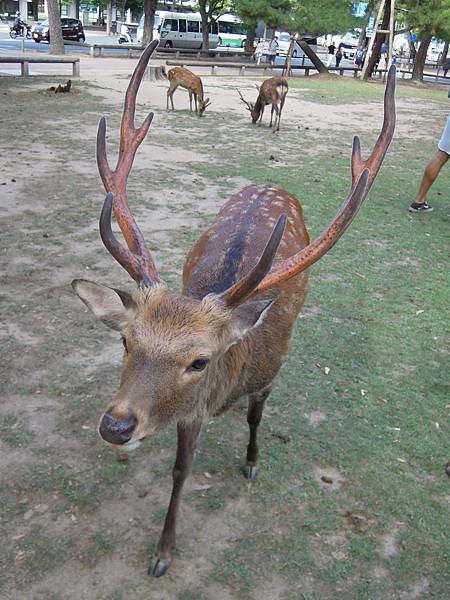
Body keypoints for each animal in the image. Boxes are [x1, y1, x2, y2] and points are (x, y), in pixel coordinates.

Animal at [72, 41, 396, 576]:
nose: (115, 426)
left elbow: (256, 419)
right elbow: (181, 469)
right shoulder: (189, 414)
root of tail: (268, 182)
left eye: (200, 361)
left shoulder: (269, 374)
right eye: (125, 340)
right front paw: (162, 552)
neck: (227, 386)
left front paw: (251, 462)